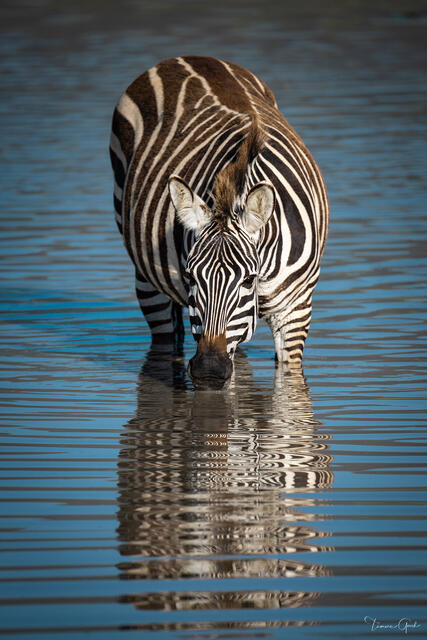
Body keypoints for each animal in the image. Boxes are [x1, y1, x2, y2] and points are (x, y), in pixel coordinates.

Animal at [109, 56, 328, 389]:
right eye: (190, 277)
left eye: (248, 280)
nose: (209, 371)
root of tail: (188, 58)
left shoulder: (296, 309)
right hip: (146, 277)